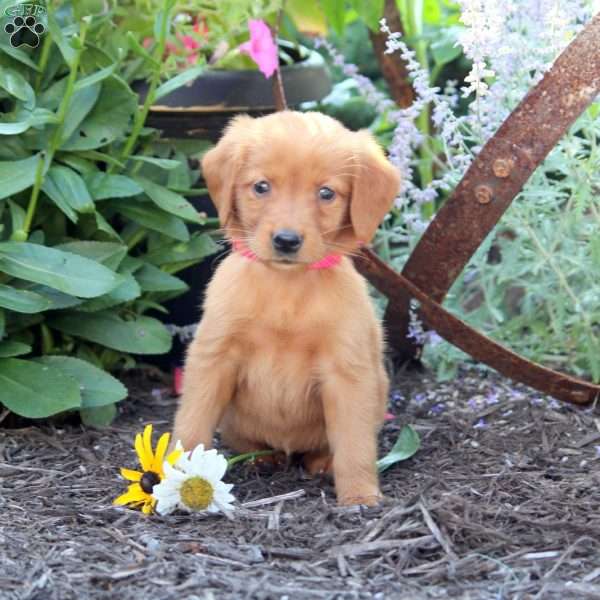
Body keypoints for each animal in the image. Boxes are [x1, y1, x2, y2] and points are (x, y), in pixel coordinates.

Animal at [172, 110, 398, 504]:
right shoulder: (214, 357)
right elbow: (192, 423)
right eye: (261, 187)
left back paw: (321, 462)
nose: (286, 241)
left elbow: (354, 444)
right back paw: (262, 458)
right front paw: (173, 478)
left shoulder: (346, 372)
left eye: (326, 193)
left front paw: (359, 496)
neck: (286, 288)